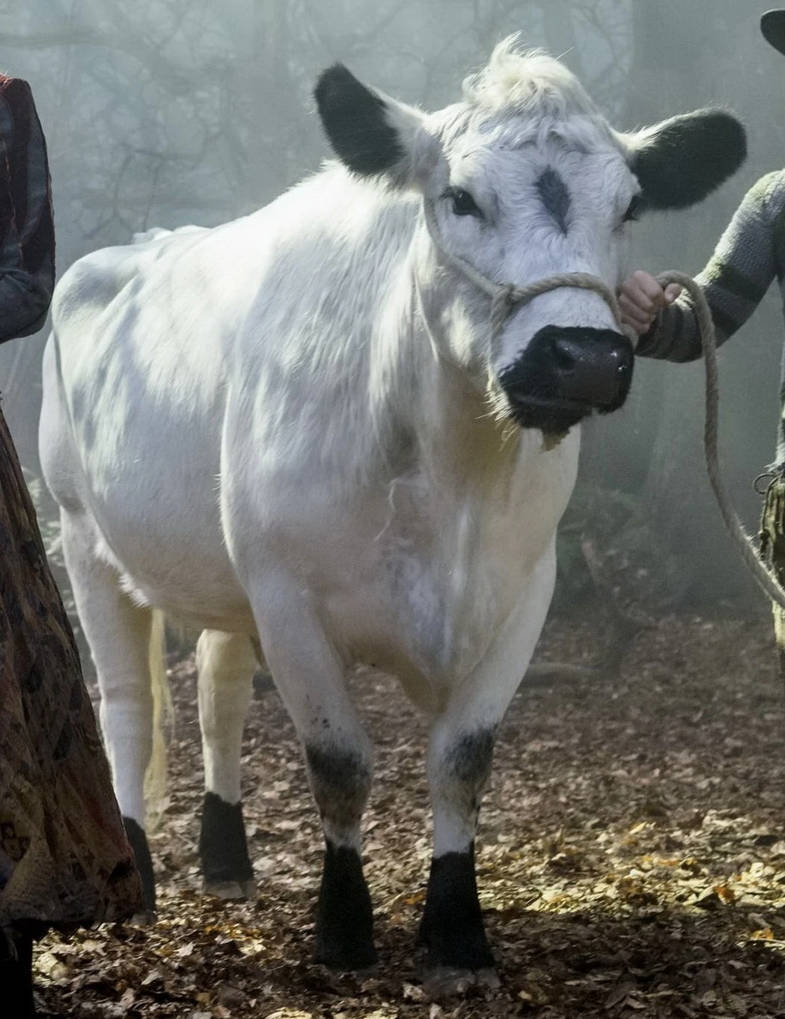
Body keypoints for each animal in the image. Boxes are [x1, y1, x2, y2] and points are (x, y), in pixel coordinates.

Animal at [39, 39, 745, 991]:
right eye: (460, 197)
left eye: (628, 204)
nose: (583, 357)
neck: (450, 479)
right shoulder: (288, 594)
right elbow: (339, 763)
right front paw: (342, 928)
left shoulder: (524, 589)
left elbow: (461, 761)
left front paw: (455, 932)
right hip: (83, 533)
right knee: (125, 709)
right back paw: (138, 869)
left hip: (218, 567)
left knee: (219, 694)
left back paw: (226, 861)